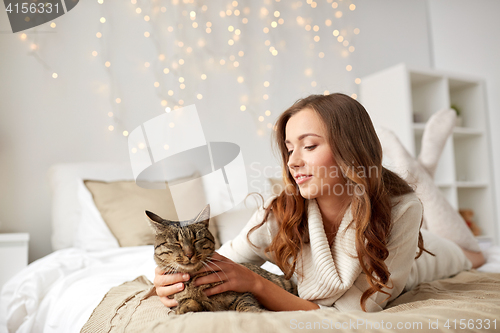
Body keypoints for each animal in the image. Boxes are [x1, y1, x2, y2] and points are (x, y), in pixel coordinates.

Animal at [144, 202, 296, 314]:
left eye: (196, 240)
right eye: (176, 243)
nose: (189, 254)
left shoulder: (242, 294)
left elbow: (246, 306)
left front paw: (256, 312)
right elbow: (188, 302)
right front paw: (182, 307)